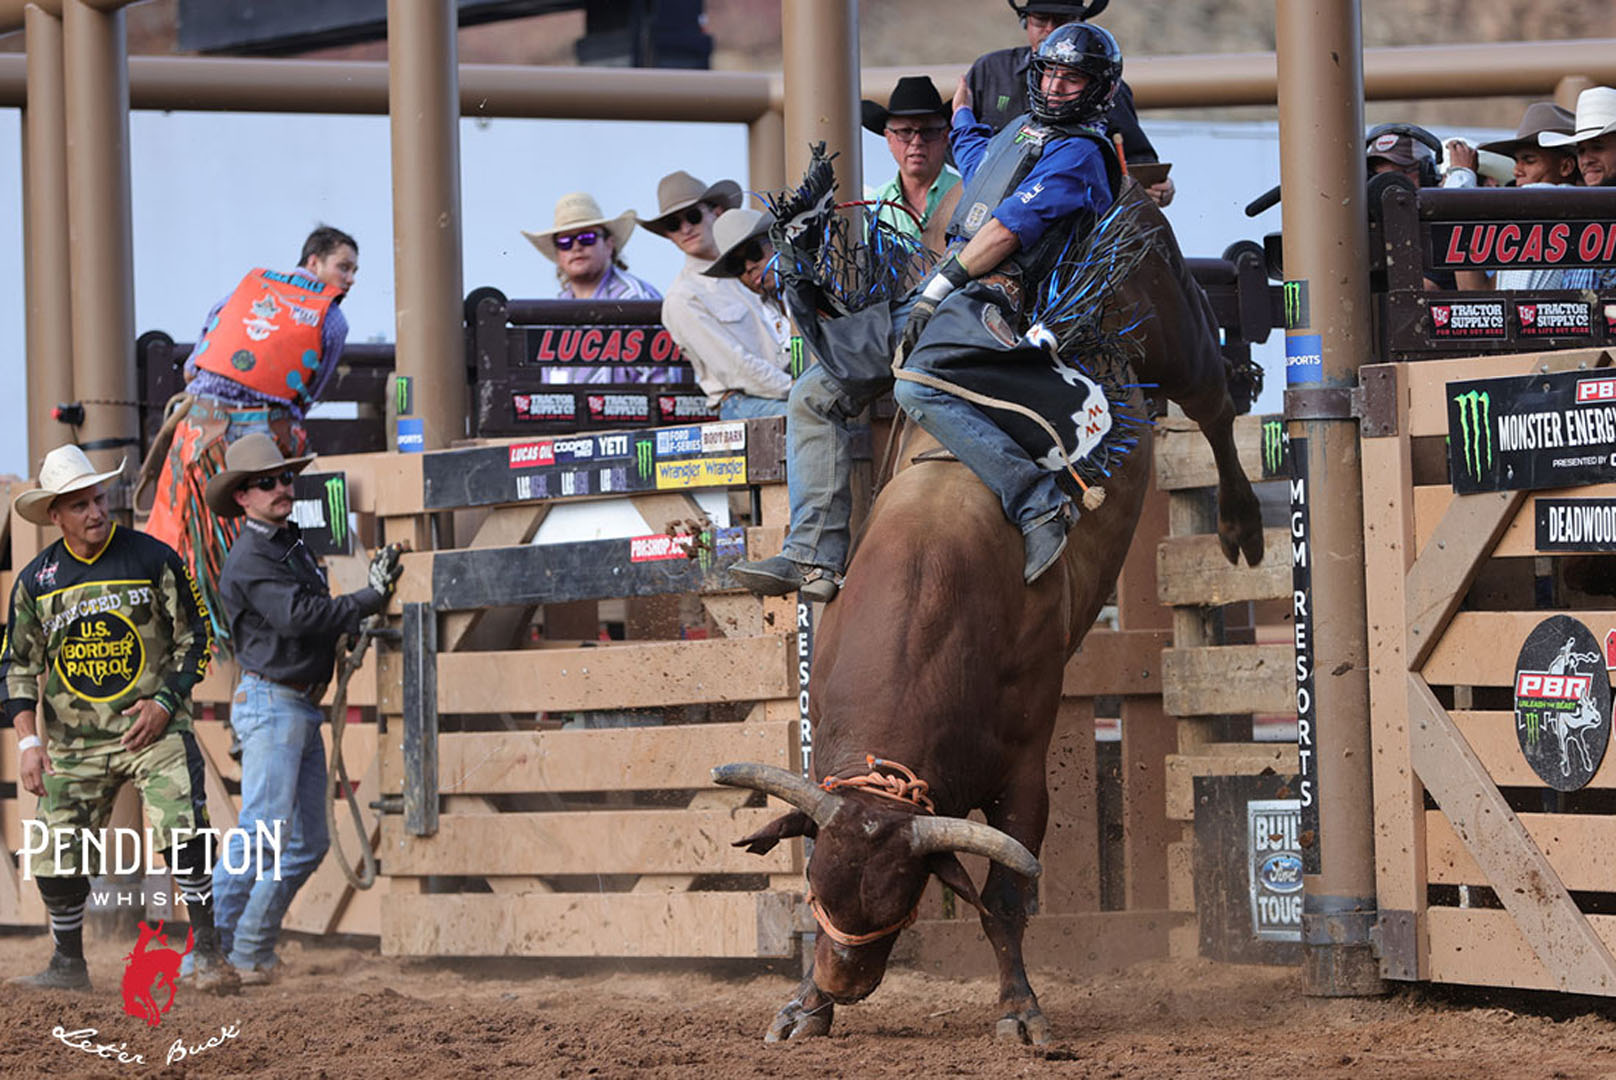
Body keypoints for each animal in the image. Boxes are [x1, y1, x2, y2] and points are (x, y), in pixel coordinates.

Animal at [713, 184, 1265, 1044]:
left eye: (899, 896)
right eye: (816, 890)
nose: (842, 981)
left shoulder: (1023, 777)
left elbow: (1003, 902)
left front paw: (1021, 1008)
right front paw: (803, 1007)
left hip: (1174, 320)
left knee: (1215, 403)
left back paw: (1243, 523)